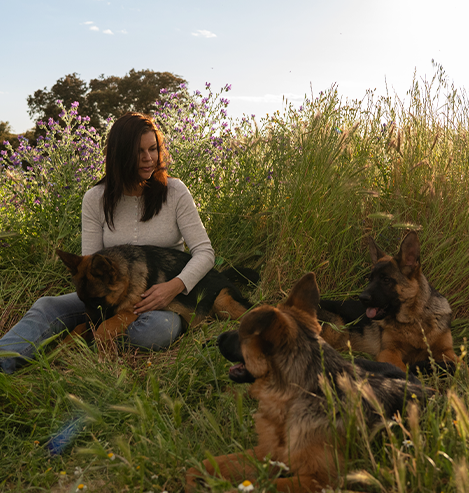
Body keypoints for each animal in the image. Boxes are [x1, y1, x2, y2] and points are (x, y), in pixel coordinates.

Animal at [186, 270, 428, 490]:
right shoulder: (265, 453)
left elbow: (266, 486)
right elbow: (205, 464)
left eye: (241, 333)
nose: (217, 338)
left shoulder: (317, 479)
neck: (296, 397)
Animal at [318, 230, 458, 368]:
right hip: (336, 325)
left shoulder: (446, 351)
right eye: (370, 279)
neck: (414, 320)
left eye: (386, 280)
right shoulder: (389, 351)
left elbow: (460, 364)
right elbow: (402, 369)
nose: (362, 298)